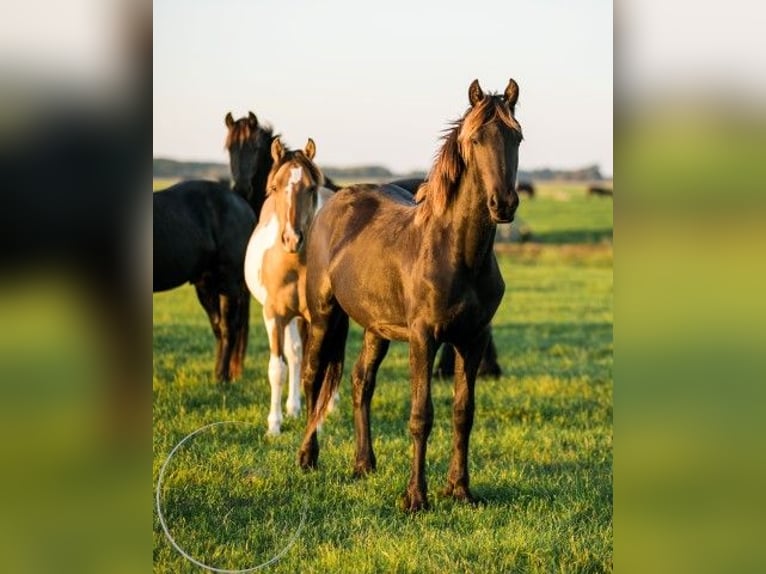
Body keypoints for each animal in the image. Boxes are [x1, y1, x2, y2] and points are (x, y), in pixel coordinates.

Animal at [152, 180, 255, 384]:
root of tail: (242, 203)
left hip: (228, 283)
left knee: (227, 328)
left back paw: (221, 377)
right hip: (206, 286)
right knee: (218, 328)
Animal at [246, 137, 336, 436]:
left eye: (311, 188)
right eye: (275, 187)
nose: (292, 239)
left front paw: (316, 425)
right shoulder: (274, 316)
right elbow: (278, 369)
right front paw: (274, 425)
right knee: (295, 355)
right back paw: (293, 407)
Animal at [296, 77, 524, 512]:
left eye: (517, 136)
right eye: (475, 139)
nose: (503, 204)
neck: (457, 252)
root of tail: (335, 202)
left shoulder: (472, 340)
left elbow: (463, 413)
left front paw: (460, 490)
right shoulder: (424, 338)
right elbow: (422, 415)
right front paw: (416, 497)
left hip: (376, 328)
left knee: (361, 381)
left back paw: (363, 464)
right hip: (324, 316)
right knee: (313, 378)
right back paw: (306, 457)